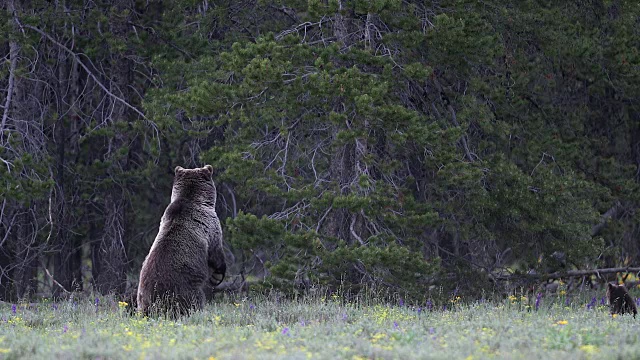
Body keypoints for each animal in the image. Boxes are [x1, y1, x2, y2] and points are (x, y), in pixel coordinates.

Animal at [136, 165, 226, 316]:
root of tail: (153, 303)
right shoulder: (210, 225)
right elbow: (216, 252)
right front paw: (218, 275)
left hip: (142, 297)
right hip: (184, 288)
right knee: (194, 300)